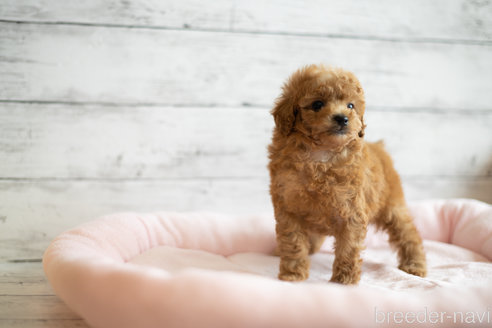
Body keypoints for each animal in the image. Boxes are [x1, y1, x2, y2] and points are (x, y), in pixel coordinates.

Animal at [268, 64, 424, 284]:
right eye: (317, 104)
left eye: (350, 105)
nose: (342, 118)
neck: (320, 156)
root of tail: (379, 148)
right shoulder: (288, 206)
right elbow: (293, 242)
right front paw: (293, 274)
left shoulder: (351, 210)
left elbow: (348, 248)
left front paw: (344, 280)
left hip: (393, 206)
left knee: (409, 234)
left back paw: (415, 265)